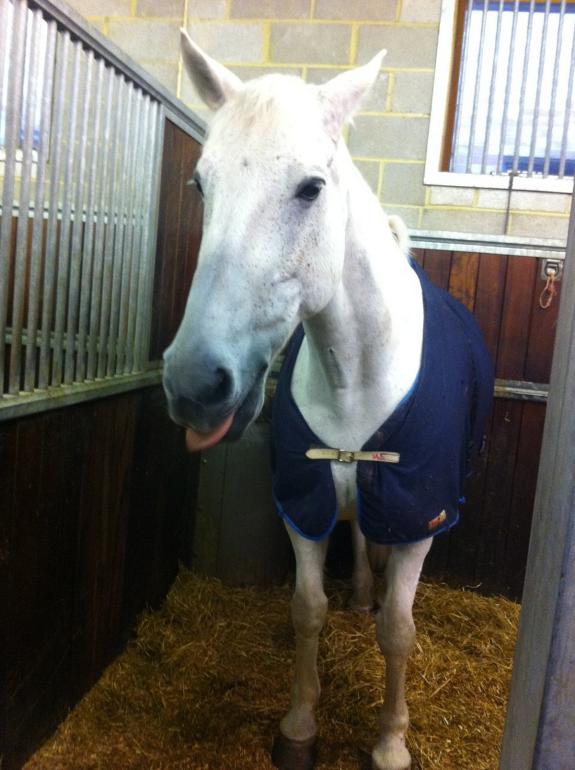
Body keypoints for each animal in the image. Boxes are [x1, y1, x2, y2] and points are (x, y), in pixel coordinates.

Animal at [163, 30, 493, 770]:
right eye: (201, 183)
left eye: (311, 187)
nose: (195, 384)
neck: (355, 375)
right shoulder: (304, 501)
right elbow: (306, 610)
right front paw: (299, 725)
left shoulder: (418, 515)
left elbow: (399, 631)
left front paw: (390, 742)